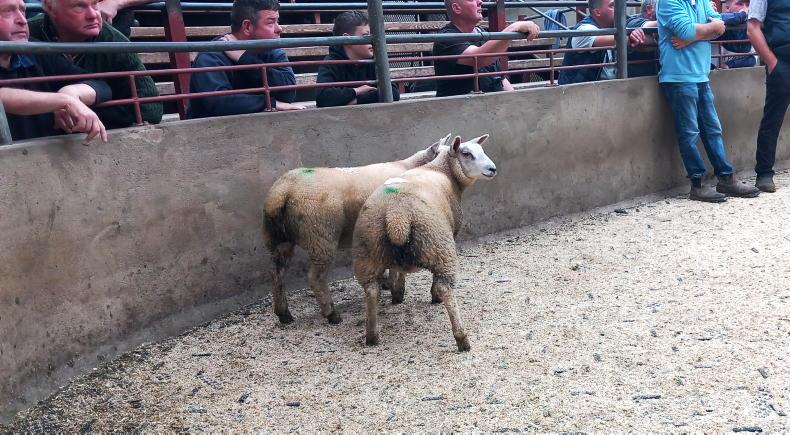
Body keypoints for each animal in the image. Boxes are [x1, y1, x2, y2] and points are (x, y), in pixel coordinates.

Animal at [261, 134, 452, 325]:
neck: (411, 167)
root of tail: (282, 192)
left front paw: (386, 284)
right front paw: (395, 289)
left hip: (278, 239)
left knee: (276, 272)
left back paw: (284, 314)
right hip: (320, 237)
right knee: (315, 278)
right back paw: (332, 314)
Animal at [352, 134, 497, 352]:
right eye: (466, 153)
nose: (492, 169)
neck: (439, 169)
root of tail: (397, 216)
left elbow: (398, 270)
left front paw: (398, 293)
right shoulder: (452, 232)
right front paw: (430, 296)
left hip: (367, 250)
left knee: (371, 290)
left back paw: (372, 335)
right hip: (439, 244)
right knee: (445, 287)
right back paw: (461, 337)